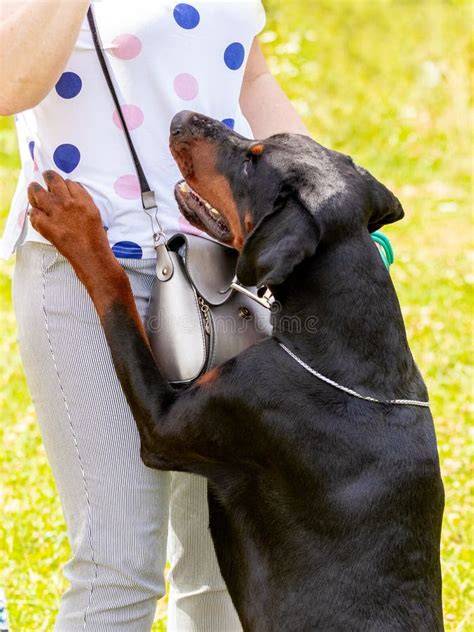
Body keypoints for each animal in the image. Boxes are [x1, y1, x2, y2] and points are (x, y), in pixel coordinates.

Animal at [26, 113, 444, 632]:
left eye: (251, 161)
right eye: (258, 143)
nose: (182, 118)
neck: (346, 355)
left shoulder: (176, 423)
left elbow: (116, 294)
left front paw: (75, 222)